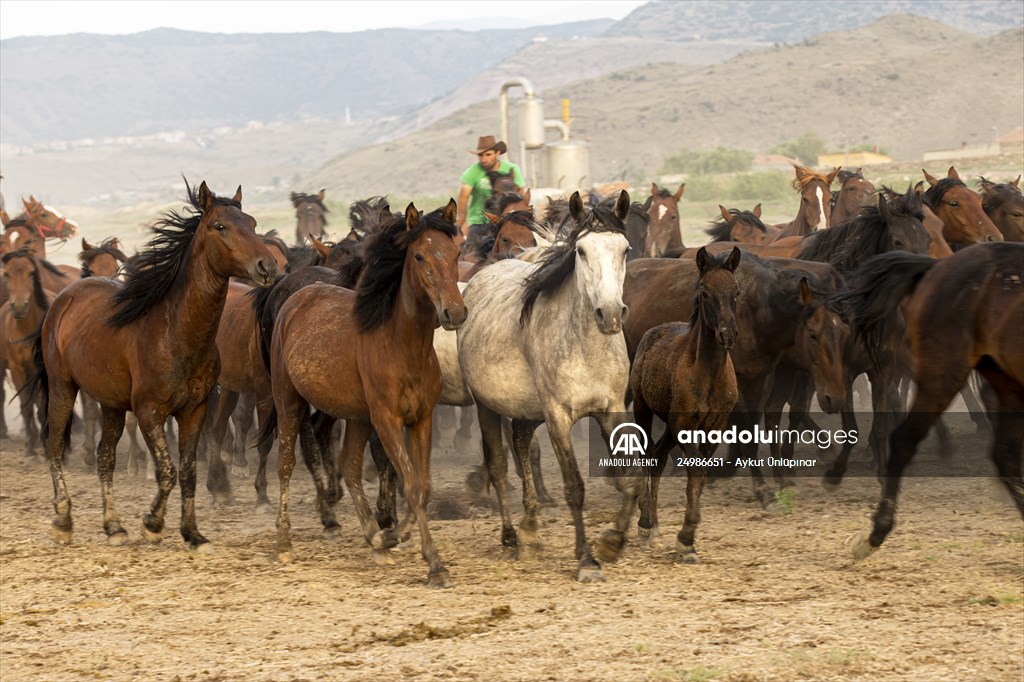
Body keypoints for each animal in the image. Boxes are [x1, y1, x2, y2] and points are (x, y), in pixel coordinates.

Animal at [30, 180, 277, 549]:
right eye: (220, 226)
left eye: (253, 222)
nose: (267, 266)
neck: (175, 332)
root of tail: (64, 298)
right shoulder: (149, 412)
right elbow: (167, 470)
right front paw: (152, 524)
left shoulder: (194, 411)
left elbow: (187, 470)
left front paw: (193, 533)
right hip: (63, 387)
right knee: (55, 446)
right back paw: (63, 521)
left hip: (111, 404)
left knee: (105, 458)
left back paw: (114, 527)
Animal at [264, 201, 465, 588]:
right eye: (419, 256)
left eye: (456, 252)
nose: (455, 312)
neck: (402, 345)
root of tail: (294, 298)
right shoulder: (387, 421)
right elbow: (411, 483)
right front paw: (434, 564)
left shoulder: (421, 419)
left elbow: (423, 485)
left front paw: (393, 536)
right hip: (288, 401)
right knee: (286, 464)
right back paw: (284, 544)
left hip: (356, 416)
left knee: (350, 466)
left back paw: (375, 540)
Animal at [458, 190, 632, 582]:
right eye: (581, 251)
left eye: (625, 249)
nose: (611, 314)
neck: (586, 347)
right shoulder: (558, 418)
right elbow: (574, 487)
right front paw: (587, 559)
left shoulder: (612, 410)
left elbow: (628, 477)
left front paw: (613, 542)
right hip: (487, 407)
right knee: (499, 465)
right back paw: (511, 537)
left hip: (527, 411)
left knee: (522, 444)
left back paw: (531, 528)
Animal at [627, 246, 741, 563]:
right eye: (704, 291)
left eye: (736, 291)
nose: (727, 334)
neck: (708, 374)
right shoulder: (684, 426)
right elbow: (696, 472)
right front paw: (686, 539)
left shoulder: (714, 428)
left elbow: (699, 476)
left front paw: (688, 538)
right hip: (644, 409)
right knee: (647, 456)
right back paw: (645, 524)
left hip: (669, 423)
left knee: (658, 457)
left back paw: (654, 526)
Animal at [840, 242, 1024, 561]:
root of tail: (936, 266)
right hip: (944, 371)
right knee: (903, 440)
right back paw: (875, 534)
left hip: (1005, 380)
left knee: (1006, 454)